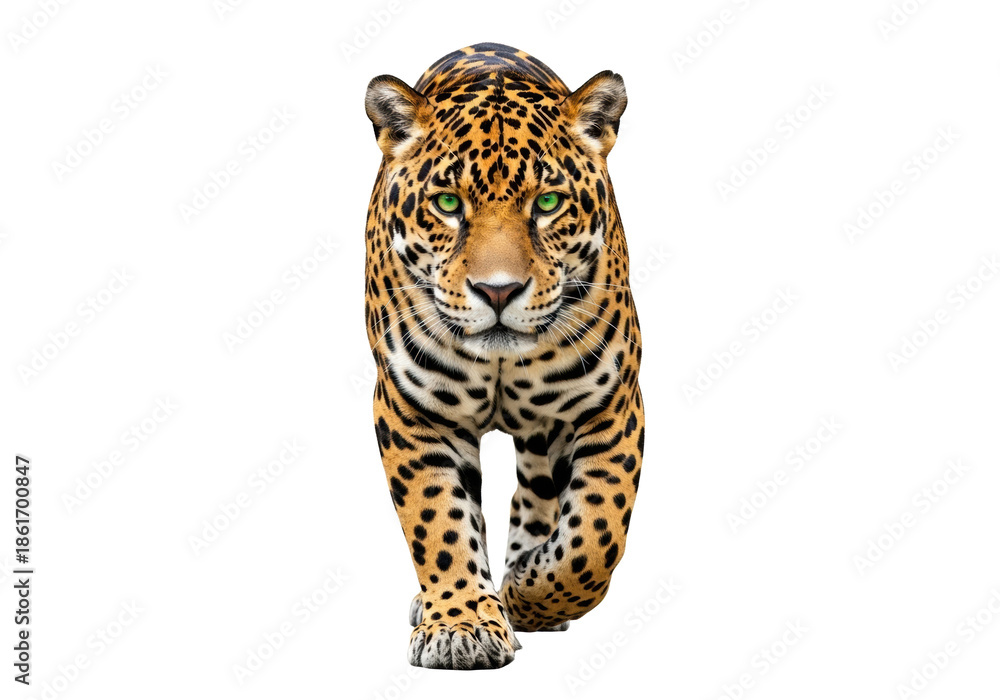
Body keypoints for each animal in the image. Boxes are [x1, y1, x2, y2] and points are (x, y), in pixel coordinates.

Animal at [363, 43, 644, 670]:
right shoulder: (412, 411)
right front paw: (461, 623)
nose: (497, 291)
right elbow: (438, 522)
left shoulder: (610, 404)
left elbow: (595, 535)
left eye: (548, 203)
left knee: (538, 494)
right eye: (447, 203)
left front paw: (525, 592)